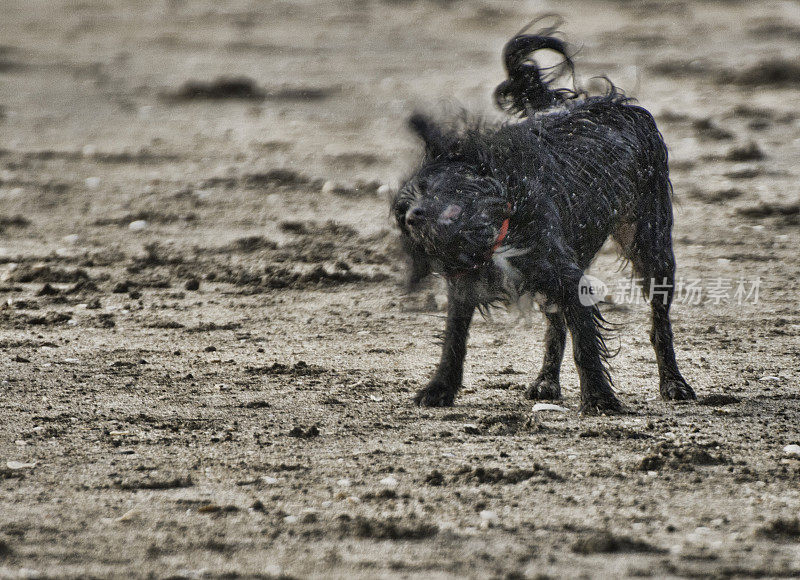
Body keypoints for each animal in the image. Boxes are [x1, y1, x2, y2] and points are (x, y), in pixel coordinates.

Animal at [394, 28, 692, 412]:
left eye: (436, 188)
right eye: (406, 202)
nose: (411, 217)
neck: (499, 225)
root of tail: (616, 102)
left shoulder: (568, 279)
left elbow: (585, 345)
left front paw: (599, 398)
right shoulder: (466, 287)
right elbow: (453, 341)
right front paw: (439, 389)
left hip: (650, 245)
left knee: (659, 322)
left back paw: (674, 383)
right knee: (555, 326)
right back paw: (546, 381)